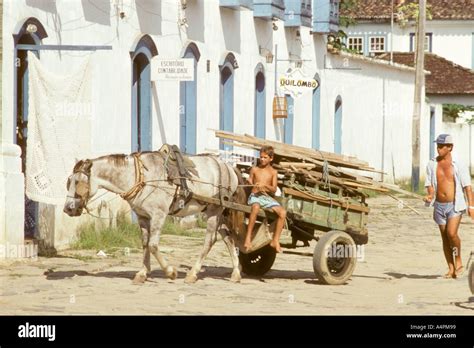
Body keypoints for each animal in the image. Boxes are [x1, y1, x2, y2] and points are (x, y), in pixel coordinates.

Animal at [63, 151, 246, 284]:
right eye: (68, 181)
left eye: (77, 182)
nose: (67, 208)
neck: (141, 176)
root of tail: (228, 166)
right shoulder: (143, 216)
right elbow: (145, 244)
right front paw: (142, 273)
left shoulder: (159, 215)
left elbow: (153, 245)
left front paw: (170, 272)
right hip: (217, 211)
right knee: (228, 238)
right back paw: (236, 273)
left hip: (215, 210)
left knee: (210, 240)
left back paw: (193, 274)